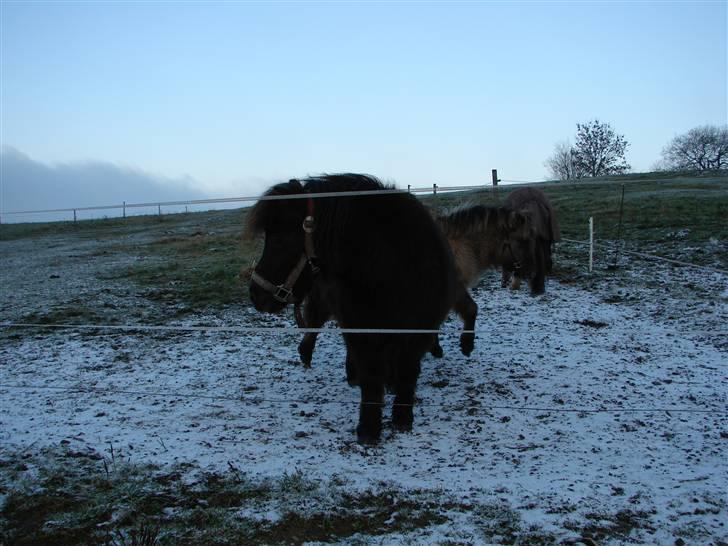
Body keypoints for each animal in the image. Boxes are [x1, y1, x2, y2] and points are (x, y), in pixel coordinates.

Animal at [246, 174, 456, 442]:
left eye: (281, 240)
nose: (255, 295)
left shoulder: (420, 329)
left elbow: (408, 370)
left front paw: (402, 417)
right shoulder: (360, 327)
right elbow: (371, 374)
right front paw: (369, 427)